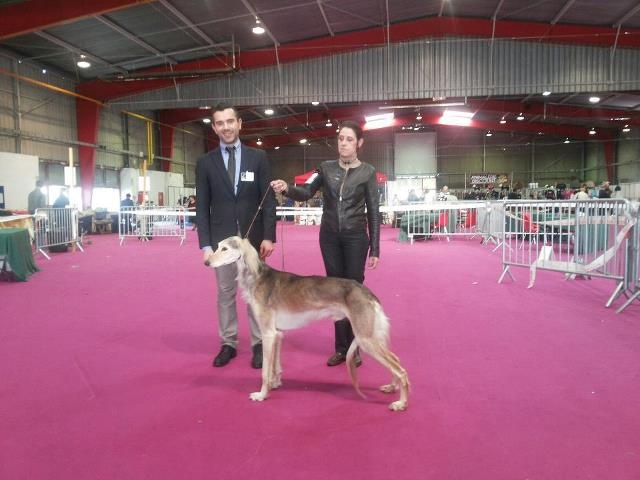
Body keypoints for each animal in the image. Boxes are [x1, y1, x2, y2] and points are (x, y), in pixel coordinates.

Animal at [206, 236, 410, 411]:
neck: (256, 275)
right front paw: (275, 384)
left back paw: (401, 403)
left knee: (400, 369)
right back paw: (391, 387)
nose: (206, 263)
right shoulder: (277, 334)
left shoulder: (268, 333)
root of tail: (367, 292)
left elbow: (264, 370)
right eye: (217, 246)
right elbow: (275, 367)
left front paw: (262, 394)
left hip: (366, 339)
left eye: (225, 249)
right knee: (396, 360)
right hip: (370, 336)